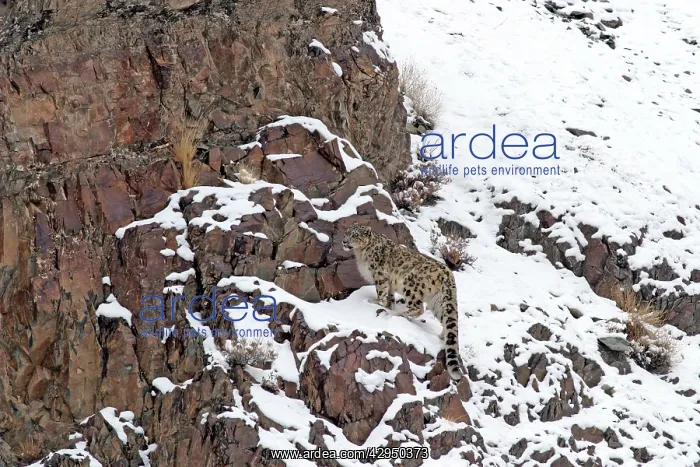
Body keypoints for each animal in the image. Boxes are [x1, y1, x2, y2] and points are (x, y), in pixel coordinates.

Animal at [342, 224, 463, 381]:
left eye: (355, 235)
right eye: (346, 233)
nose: (344, 241)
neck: (361, 253)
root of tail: (448, 273)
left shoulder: (379, 275)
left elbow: (381, 291)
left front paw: (376, 302)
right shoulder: (390, 284)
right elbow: (390, 295)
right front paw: (388, 304)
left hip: (411, 284)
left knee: (418, 308)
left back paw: (398, 313)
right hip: (436, 300)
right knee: (445, 319)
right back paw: (441, 335)